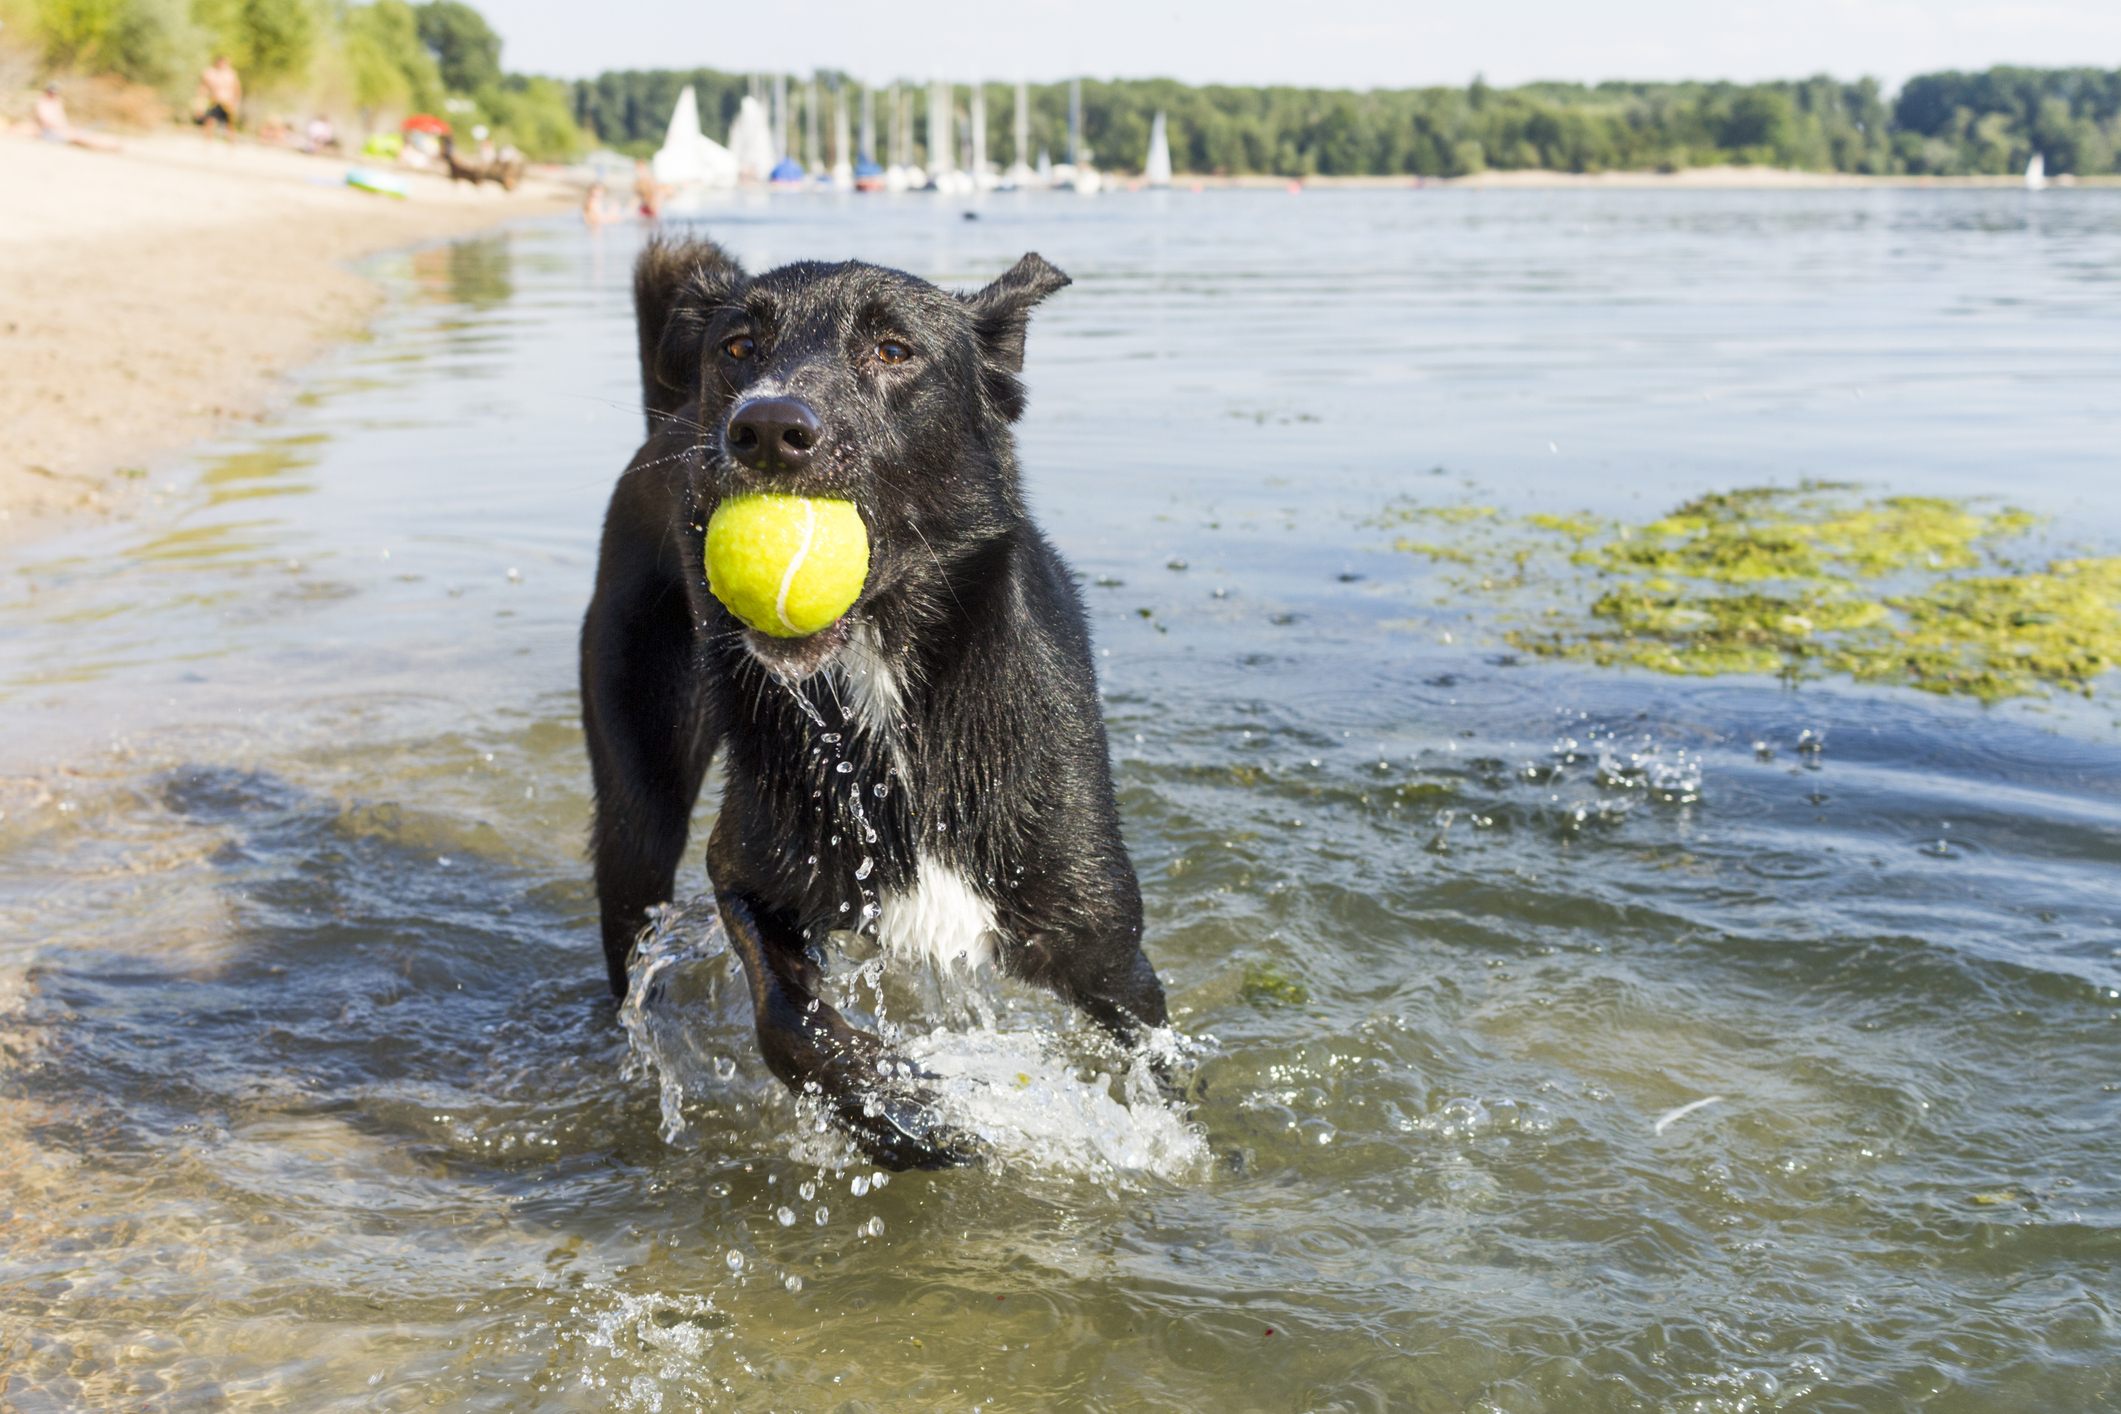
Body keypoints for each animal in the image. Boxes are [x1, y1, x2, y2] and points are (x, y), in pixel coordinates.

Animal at [581, 235, 1170, 1170]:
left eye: (893, 351)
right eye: (738, 346)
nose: (765, 428)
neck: (883, 683)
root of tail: (665, 420)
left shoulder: (1108, 954)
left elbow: (1165, 1087)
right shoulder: (746, 871)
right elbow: (787, 1023)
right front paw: (898, 1112)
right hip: (638, 810)